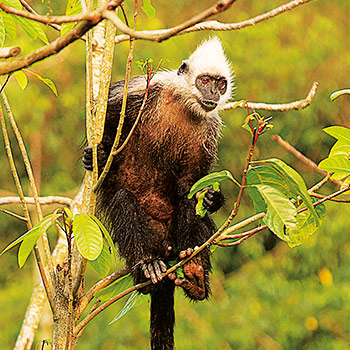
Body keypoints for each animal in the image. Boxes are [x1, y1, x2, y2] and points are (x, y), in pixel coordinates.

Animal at [83, 37, 234, 348]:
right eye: (204, 81)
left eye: (220, 83)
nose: (212, 93)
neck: (184, 106)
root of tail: (165, 247)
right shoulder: (141, 91)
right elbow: (108, 115)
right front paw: (98, 155)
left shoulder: (209, 130)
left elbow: (192, 187)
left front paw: (212, 199)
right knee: (122, 200)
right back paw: (147, 266)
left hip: (175, 238)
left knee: (189, 205)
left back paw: (194, 274)